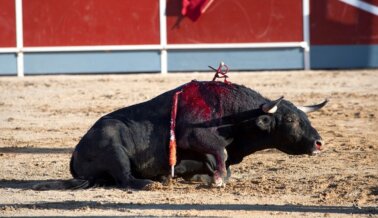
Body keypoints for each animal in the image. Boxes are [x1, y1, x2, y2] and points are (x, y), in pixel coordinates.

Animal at [34, 79, 328, 189]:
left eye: (305, 117)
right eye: (290, 119)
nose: (318, 143)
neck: (232, 115)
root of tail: (76, 152)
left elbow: (222, 165)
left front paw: (198, 174)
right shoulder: (195, 137)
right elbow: (221, 155)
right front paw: (214, 180)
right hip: (113, 148)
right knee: (125, 177)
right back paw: (151, 182)